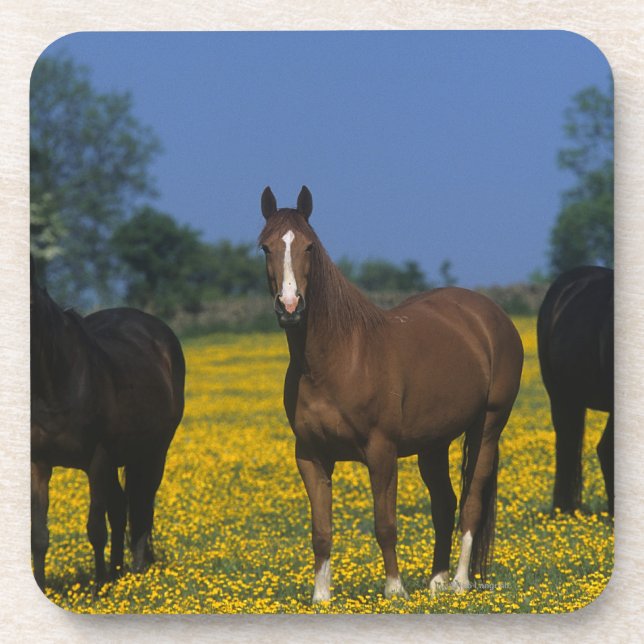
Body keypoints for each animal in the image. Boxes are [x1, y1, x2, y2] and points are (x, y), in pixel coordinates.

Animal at [30, 260, 185, 589]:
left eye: (32, 304)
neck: (58, 385)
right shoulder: (40, 463)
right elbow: (39, 534)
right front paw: (41, 585)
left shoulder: (96, 460)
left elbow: (95, 528)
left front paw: (99, 587)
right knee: (121, 508)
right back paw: (118, 570)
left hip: (152, 454)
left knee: (141, 506)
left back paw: (135, 570)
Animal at [258, 186, 523, 601]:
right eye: (266, 247)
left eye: (309, 246)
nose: (289, 306)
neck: (335, 360)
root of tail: (489, 315)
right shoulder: (311, 457)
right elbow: (321, 530)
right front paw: (321, 597)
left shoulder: (381, 451)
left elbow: (385, 524)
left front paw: (395, 590)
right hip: (434, 443)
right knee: (444, 504)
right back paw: (437, 582)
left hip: (488, 428)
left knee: (471, 503)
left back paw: (460, 581)